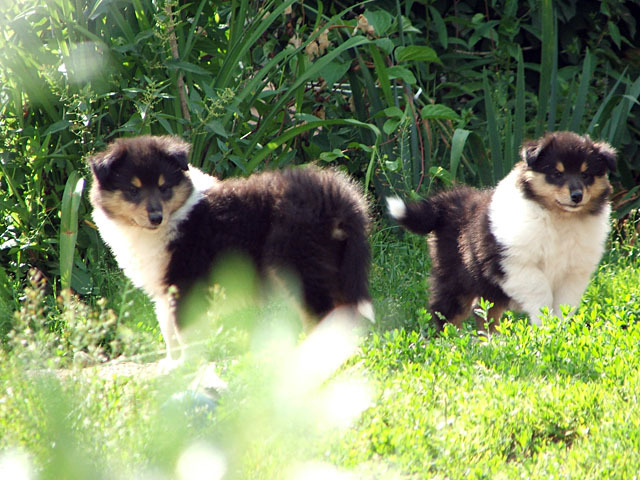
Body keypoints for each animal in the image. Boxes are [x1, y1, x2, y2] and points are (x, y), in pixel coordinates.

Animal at [88, 135, 374, 368]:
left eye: (164, 187)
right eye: (132, 190)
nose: (156, 217)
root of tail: (335, 195)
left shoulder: (187, 282)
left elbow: (184, 330)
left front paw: (185, 367)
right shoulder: (165, 289)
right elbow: (168, 331)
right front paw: (170, 365)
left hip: (300, 265)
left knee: (322, 313)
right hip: (336, 266)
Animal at [387, 131, 616, 331]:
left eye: (586, 174)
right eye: (556, 174)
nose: (577, 196)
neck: (559, 218)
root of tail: (446, 203)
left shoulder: (573, 273)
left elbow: (563, 305)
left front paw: (557, 330)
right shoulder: (514, 263)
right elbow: (541, 291)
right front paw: (544, 325)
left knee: (483, 313)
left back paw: (491, 342)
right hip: (457, 277)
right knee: (446, 311)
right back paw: (450, 341)